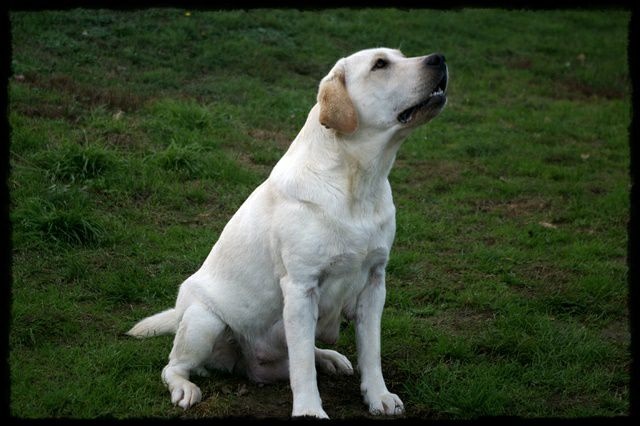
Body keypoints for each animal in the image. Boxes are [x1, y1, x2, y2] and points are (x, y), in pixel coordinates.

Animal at [127, 48, 448, 418]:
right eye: (380, 64)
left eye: (400, 55)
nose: (439, 58)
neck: (358, 183)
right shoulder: (300, 288)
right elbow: (303, 367)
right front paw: (310, 411)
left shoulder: (374, 283)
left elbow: (370, 351)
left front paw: (378, 395)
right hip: (203, 321)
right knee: (174, 366)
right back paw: (184, 387)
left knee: (304, 353)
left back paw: (330, 358)